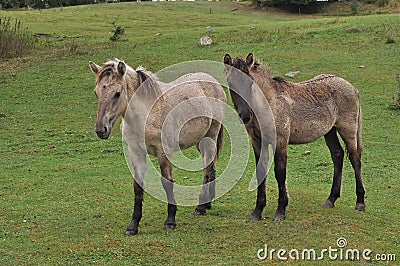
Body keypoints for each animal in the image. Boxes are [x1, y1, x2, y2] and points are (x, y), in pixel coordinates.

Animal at [90, 59, 227, 235]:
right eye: (96, 92)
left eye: (117, 93)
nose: (101, 130)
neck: (146, 114)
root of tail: (212, 82)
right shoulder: (136, 152)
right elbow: (138, 186)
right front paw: (133, 225)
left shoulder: (164, 153)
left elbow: (167, 182)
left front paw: (170, 221)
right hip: (200, 141)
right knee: (209, 167)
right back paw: (207, 203)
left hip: (210, 137)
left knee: (208, 168)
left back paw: (201, 207)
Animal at [225, 53, 366, 221]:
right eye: (230, 84)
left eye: (250, 83)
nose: (246, 116)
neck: (269, 103)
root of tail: (352, 88)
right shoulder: (257, 142)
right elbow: (261, 172)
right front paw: (257, 212)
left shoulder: (280, 141)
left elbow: (280, 173)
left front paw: (280, 211)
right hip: (330, 131)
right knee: (337, 154)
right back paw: (330, 199)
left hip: (348, 129)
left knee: (355, 158)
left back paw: (360, 202)